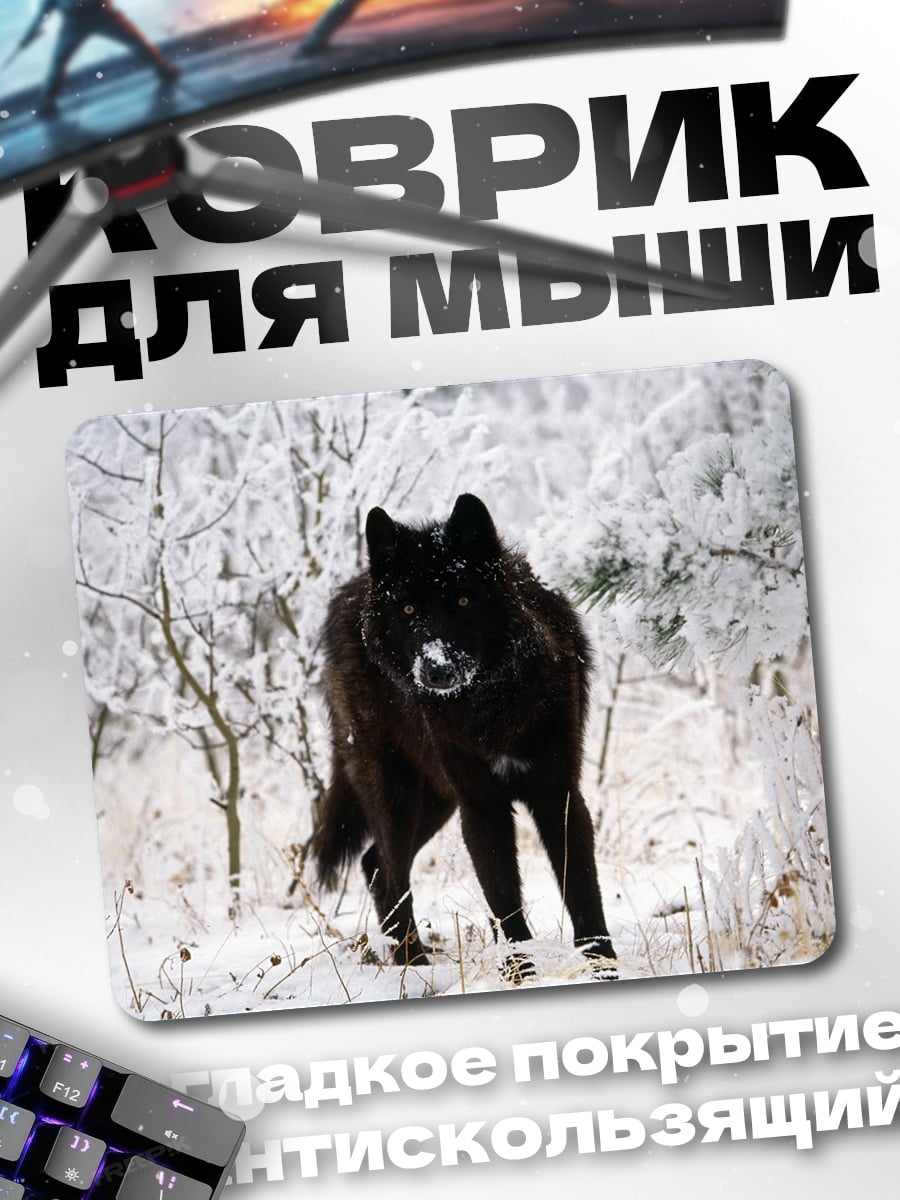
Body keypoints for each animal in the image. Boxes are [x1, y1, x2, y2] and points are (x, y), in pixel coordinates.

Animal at [312, 493, 616, 975]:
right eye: (408, 610)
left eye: (463, 599)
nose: (436, 669)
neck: (489, 708)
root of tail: (349, 592)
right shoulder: (482, 806)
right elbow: (503, 899)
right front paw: (519, 973)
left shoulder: (558, 794)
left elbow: (582, 888)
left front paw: (604, 965)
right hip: (397, 794)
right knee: (390, 870)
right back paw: (412, 965)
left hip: (436, 800)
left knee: (374, 863)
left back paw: (411, 963)